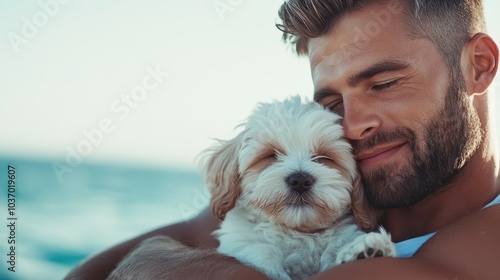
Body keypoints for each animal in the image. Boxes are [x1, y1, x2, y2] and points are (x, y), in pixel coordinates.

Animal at [201, 95, 396, 278]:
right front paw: (272, 269)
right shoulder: (239, 239)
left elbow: (336, 247)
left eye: (324, 158)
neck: (299, 232)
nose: (300, 180)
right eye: (270, 155)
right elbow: (261, 248)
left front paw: (362, 248)